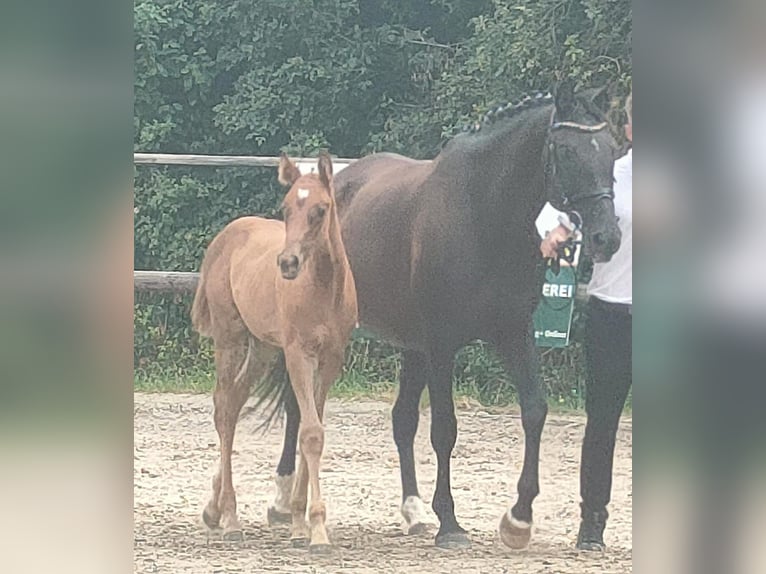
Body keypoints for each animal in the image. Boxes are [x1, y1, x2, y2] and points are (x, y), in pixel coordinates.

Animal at [192, 152, 360, 552]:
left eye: (320, 209)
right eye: (285, 208)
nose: (287, 264)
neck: (323, 288)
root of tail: (224, 237)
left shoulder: (330, 360)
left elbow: (311, 429)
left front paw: (300, 524)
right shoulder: (298, 353)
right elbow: (309, 431)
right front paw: (315, 530)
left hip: (263, 348)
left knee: (235, 400)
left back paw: (213, 510)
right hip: (230, 338)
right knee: (224, 409)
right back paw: (230, 519)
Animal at [270, 83, 624, 552]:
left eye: (611, 151)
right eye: (565, 150)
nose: (607, 237)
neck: (483, 214)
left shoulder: (512, 331)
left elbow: (534, 410)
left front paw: (518, 519)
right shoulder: (442, 343)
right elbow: (445, 428)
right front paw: (451, 523)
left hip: (410, 344)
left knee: (401, 420)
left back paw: (413, 512)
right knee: (298, 407)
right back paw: (282, 499)